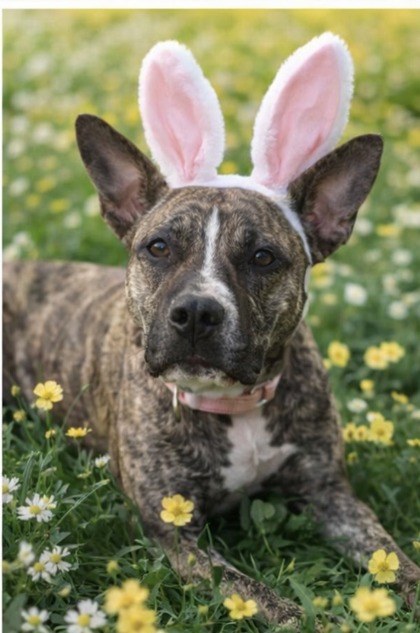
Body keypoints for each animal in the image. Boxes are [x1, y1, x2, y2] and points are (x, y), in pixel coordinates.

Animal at [4, 34, 419, 627]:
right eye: (157, 247)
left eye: (264, 257)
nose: (198, 311)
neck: (233, 405)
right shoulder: (176, 533)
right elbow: (259, 595)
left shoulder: (331, 495)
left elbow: (393, 557)